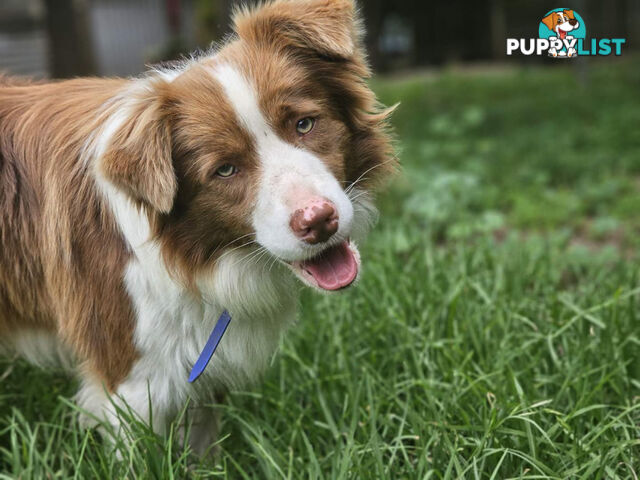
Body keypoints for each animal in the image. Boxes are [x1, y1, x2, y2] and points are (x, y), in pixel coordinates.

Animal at [0, 0, 392, 454]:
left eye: (304, 124)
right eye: (225, 170)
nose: (318, 221)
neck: (193, 254)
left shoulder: (197, 361)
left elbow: (201, 444)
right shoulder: (131, 380)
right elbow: (142, 454)